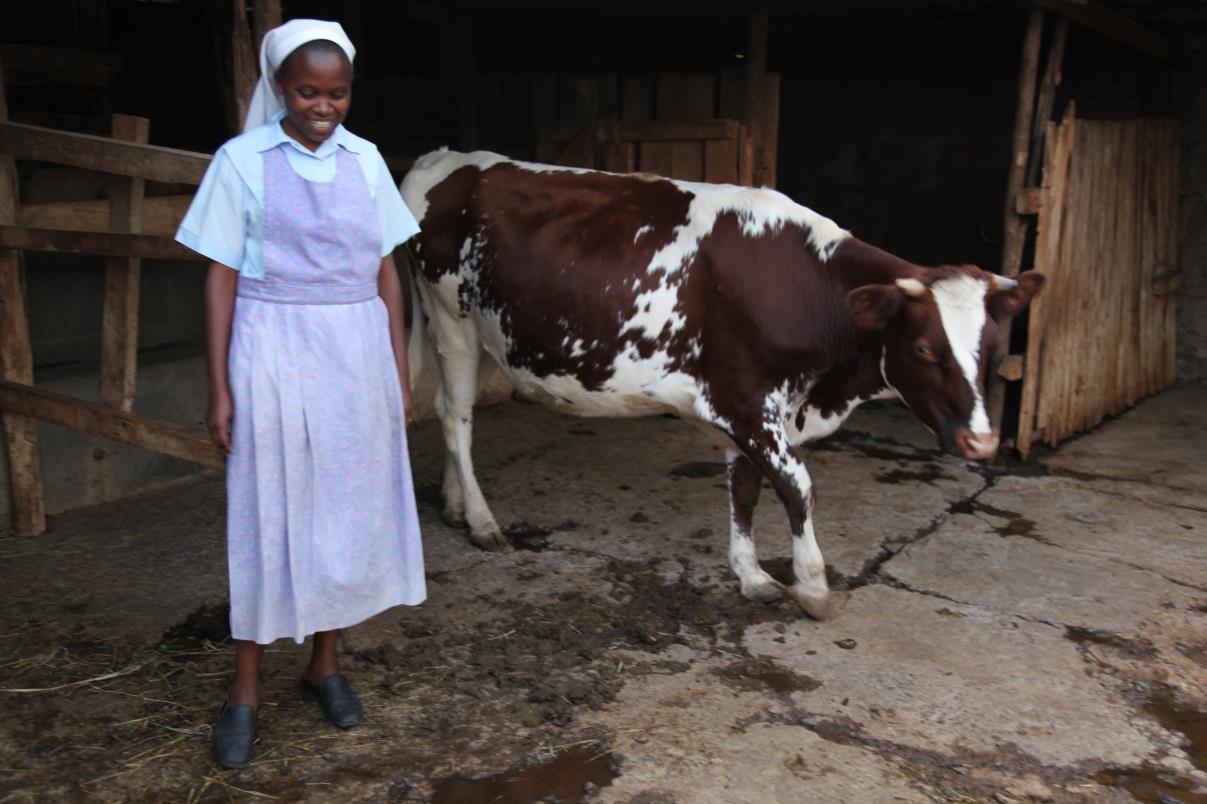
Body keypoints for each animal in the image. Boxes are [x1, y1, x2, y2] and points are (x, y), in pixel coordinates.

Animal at [400, 147, 1042, 615]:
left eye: (991, 348)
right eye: (924, 348)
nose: (982, 441)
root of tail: (446, 158)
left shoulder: (752, 408)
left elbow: (745, 489)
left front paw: (752, 575)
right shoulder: (746, 400)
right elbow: (796, 486)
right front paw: (811, 584)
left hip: (490, 332)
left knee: (454, 411)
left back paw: (456, 506)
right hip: (452, 319)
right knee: (455, 420)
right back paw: (483, 522)